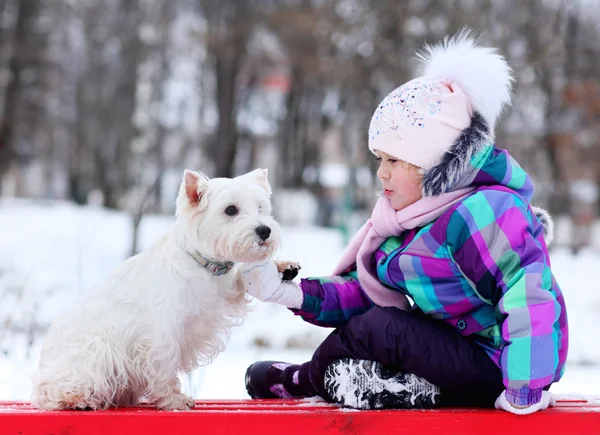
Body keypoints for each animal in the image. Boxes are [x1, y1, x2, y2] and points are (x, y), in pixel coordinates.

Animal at [30, 169, 278, 410]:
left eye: (260, 207)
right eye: (230, 210)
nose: (265, 230)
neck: (202, 264)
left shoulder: (220, 298)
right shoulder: (163, 332)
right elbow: (164, 368)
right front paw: (174, 401)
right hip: (94, 353)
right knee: (53, 389)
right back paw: (78, 399)